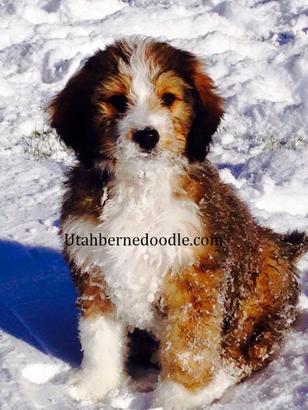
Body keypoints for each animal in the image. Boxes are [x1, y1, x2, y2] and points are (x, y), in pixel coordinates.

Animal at [48, 36, 308, 408]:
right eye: (117, 101)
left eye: (168, 98)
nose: (147, 135)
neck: (141, 186)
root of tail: (284, 247)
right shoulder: (95, 273)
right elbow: (99, 339)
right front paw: (95, 387)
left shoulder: (194, 282)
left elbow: (189, 348)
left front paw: (175, 400)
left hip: (257, 308)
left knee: (242, 355)